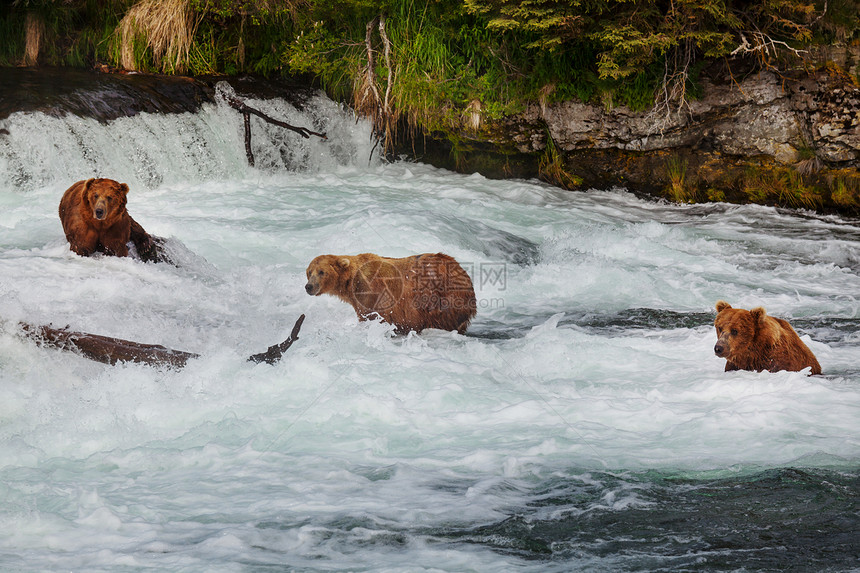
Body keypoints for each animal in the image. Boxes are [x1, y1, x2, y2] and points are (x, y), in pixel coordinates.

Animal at [304, 251, 480, 336]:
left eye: (321, 272)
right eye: (309, 272)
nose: (309, 286)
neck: (352, 282)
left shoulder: (372, 294)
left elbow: (373, 318)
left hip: (440, 298)